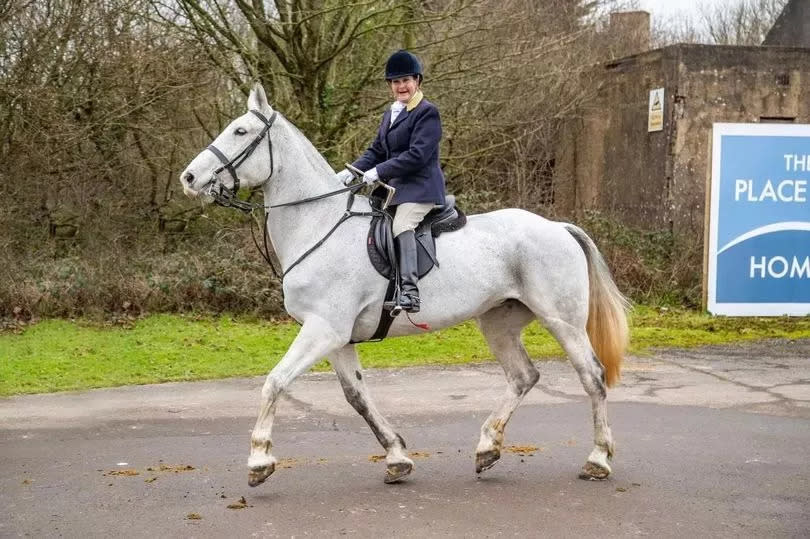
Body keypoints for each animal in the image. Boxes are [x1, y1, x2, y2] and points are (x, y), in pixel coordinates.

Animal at [180, 84, 628, 490]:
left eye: (240, 131)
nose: (189, 177)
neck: (318, 222)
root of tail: (559, 226)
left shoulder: (324, 329)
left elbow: (275, 381)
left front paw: (259, 460)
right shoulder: (337, 337)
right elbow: (357, 398)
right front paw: (397, 457)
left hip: (562, 321)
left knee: (592, 376)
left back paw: (598, 460)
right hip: (498, 323)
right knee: (523, 377)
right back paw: (487, 449)